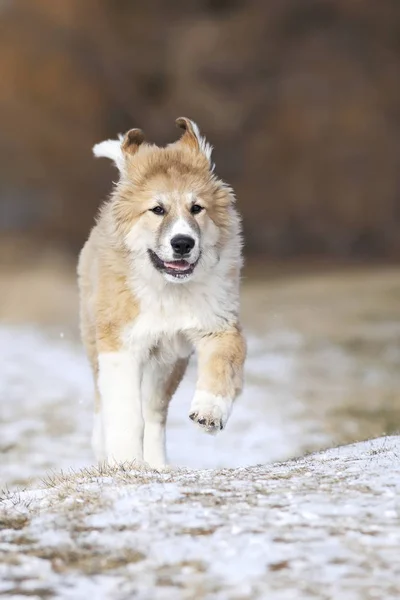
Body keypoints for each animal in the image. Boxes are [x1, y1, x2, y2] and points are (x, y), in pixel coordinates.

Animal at [77, 118, 247, 468]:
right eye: (157, 210)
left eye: (197, 208)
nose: (182, 243)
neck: (169, 290)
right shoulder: (120, 343)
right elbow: (124, 412)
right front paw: (125, 462)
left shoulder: (217, 323)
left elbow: (223, 362)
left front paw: (209, 413)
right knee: (106, 403)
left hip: (167, 362)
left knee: (154, 413)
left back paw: (158, 465)